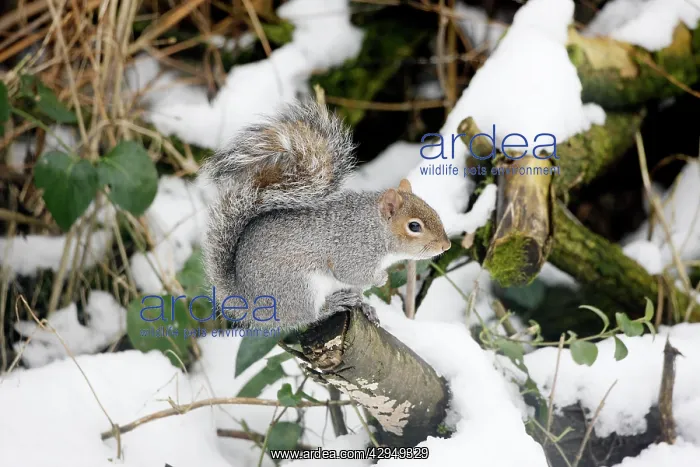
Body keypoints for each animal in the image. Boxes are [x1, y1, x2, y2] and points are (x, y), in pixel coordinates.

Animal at [201, 99, 451, 331]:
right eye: (414, 226)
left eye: (433, 211)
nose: (446, 246)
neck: (374, 228)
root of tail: (251, 303)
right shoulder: (352, 253)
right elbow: (352, 272)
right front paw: (381, 278)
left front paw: (367, 304)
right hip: (298, 288)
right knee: (307, 317)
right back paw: (331, 306)